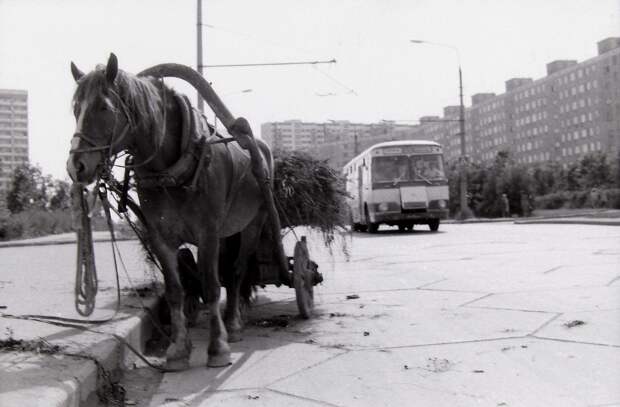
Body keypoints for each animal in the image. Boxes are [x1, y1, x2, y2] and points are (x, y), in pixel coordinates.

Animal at [66, 53, 272, 370]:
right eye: (75, 108)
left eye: (104, 107)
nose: (76, 166)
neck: (171, 172)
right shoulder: (160, 237)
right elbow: (175, 290)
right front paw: (178, 349)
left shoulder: (208, 233)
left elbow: (211, 286)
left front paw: (217, 347)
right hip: (227, 231)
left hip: (253, 223)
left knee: (236, 272)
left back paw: (233, 324)